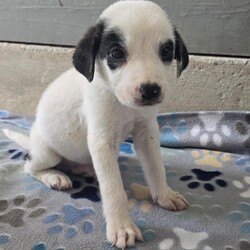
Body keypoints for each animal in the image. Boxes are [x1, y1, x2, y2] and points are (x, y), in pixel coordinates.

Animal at [6, 0, 189, 249]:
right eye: (116, 53)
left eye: (166, 51)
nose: (150, 90)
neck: (119, 101)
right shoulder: (102, 142)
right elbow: (113, 189)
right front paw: (121, 226)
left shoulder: (147, 132)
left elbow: (156, 167)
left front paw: (164, 194)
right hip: (46, 153)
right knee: (30, 166)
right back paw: (55, 176)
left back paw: (84, 169)